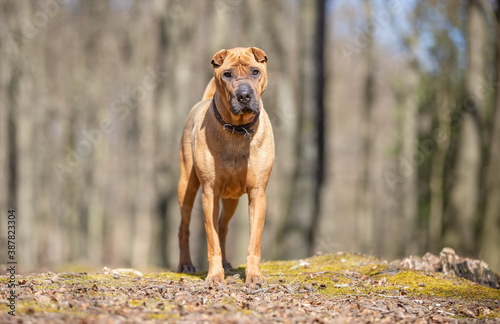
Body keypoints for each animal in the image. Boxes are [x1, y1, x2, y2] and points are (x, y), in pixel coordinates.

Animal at [178, 47, 276, 286]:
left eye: (255, 71)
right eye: (227, 74)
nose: (244, 95)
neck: (238, 129)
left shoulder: (258, 194)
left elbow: (253, 241)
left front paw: (254, 276)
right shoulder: (209, 193)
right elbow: (211, 239)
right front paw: (214, 276)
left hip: (231, 199)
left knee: (223, 225)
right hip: (187, 186)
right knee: (184, 227)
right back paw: (185, 264)